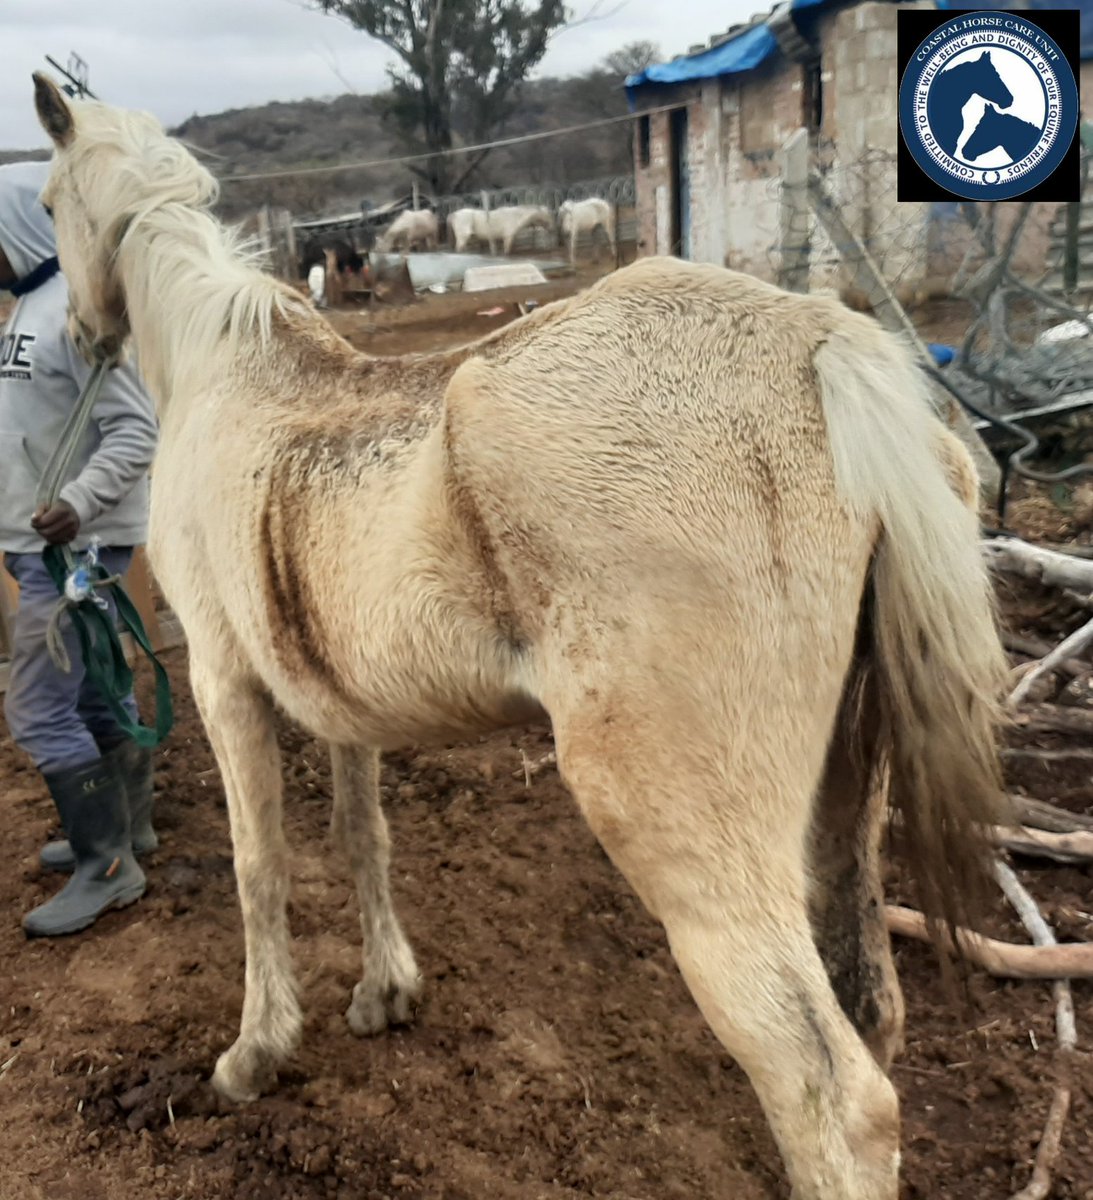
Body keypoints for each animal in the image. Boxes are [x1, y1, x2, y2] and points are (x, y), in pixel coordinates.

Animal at [32, 73, 1007, 1200]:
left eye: (47, 202)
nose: (80, 339)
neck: (225, 370)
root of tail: (822, 348)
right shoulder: (341, 710)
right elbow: (363, 837)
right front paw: (383, 995)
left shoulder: (226, 687)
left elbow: (258, 865)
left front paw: (255, 1052)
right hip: (848, 793)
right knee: (869, 1008)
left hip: (689, 836)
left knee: (829, 1094)